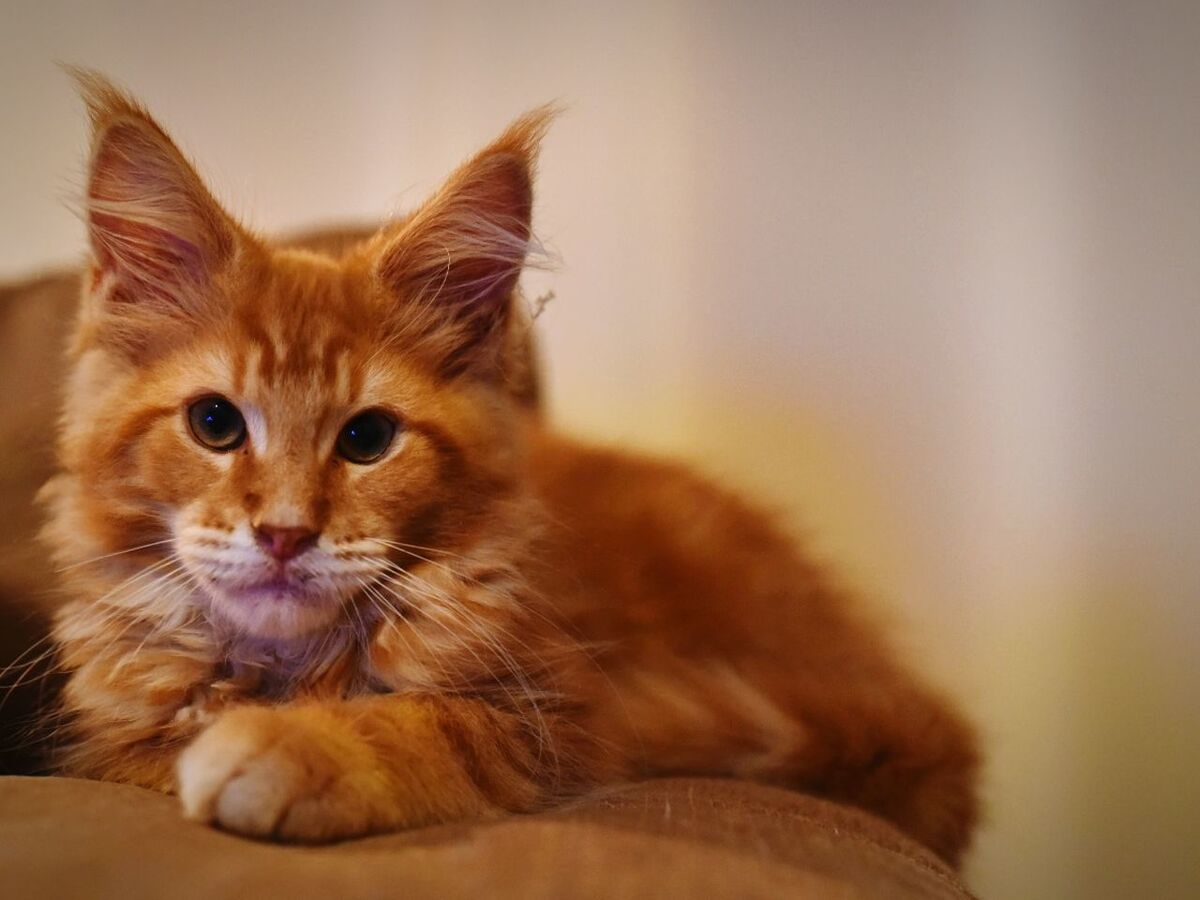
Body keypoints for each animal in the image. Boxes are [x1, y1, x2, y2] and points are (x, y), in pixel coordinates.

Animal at [42, 72, 979, 868]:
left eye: (368, 438)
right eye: (215, 424)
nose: (283, 533)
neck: (290, 663)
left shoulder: (555, 715)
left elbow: (421, 724)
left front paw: (287, 746)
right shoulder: (116, 738)